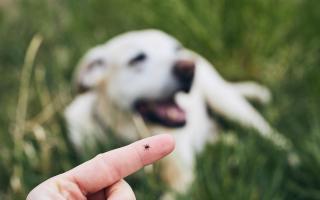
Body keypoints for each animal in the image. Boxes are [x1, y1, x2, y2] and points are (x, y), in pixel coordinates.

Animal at [65, 28, 284, 198]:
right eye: (137, 59)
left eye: (175, 49)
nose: (189, 67)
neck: (133, 133)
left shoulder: (182, 179)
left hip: (226, 102)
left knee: (268, 133)